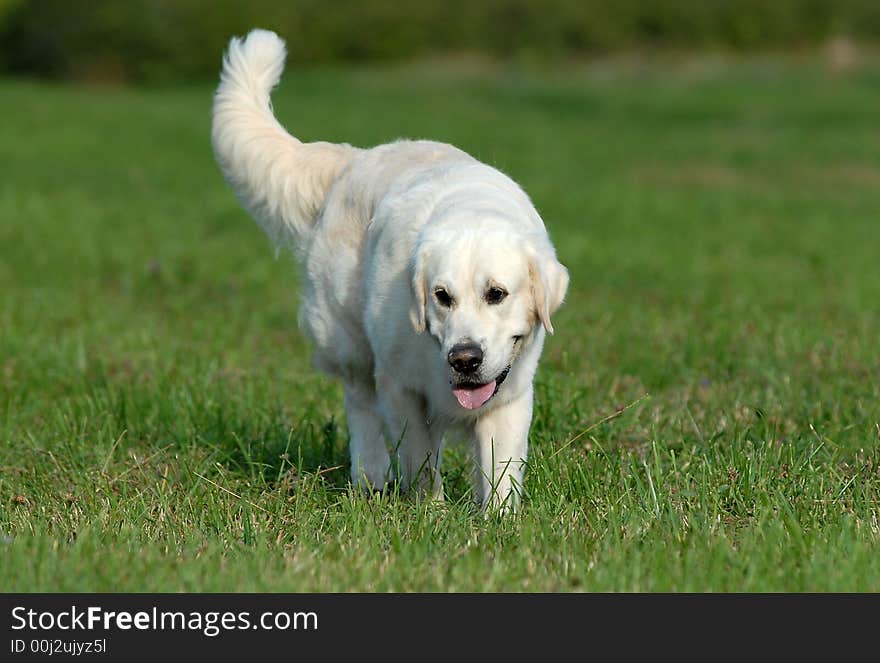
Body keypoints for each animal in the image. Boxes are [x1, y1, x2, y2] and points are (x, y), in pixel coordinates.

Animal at [210, 28, 568, 510]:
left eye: (497, 294)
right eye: (442, 296)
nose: (464, 359)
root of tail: (354, 158)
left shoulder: (510, 395)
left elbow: (501, 468)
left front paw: (500, 518)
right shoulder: (400, 386)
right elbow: (417, 458)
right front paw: (431, 512)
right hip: (347, 340)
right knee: (360, 405)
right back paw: (370, 479)